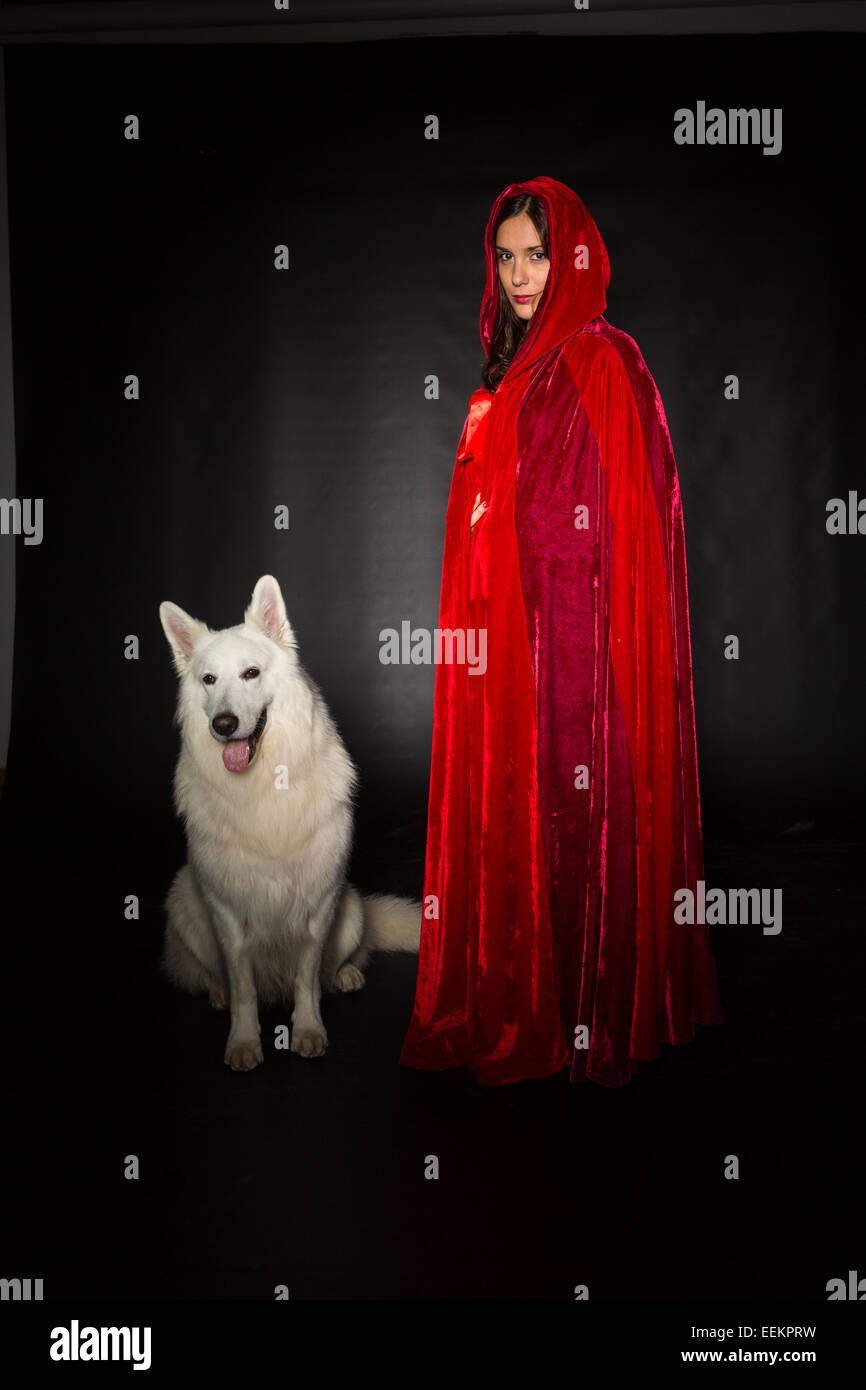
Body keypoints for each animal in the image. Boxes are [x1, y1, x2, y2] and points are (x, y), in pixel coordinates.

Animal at [161, 569, 422, 1067]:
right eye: (208, 679)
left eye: (251, 673)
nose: (223, 724)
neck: (263, 783)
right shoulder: (227, 911)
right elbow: (243, 985)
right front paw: (244, 1039)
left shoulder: (319, 902)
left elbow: (305, 975)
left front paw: (307, 1030)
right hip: (186, 897)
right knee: (209, 973)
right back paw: (218, 993)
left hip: (351, 907)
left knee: (339, 962)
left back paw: (344, 975)